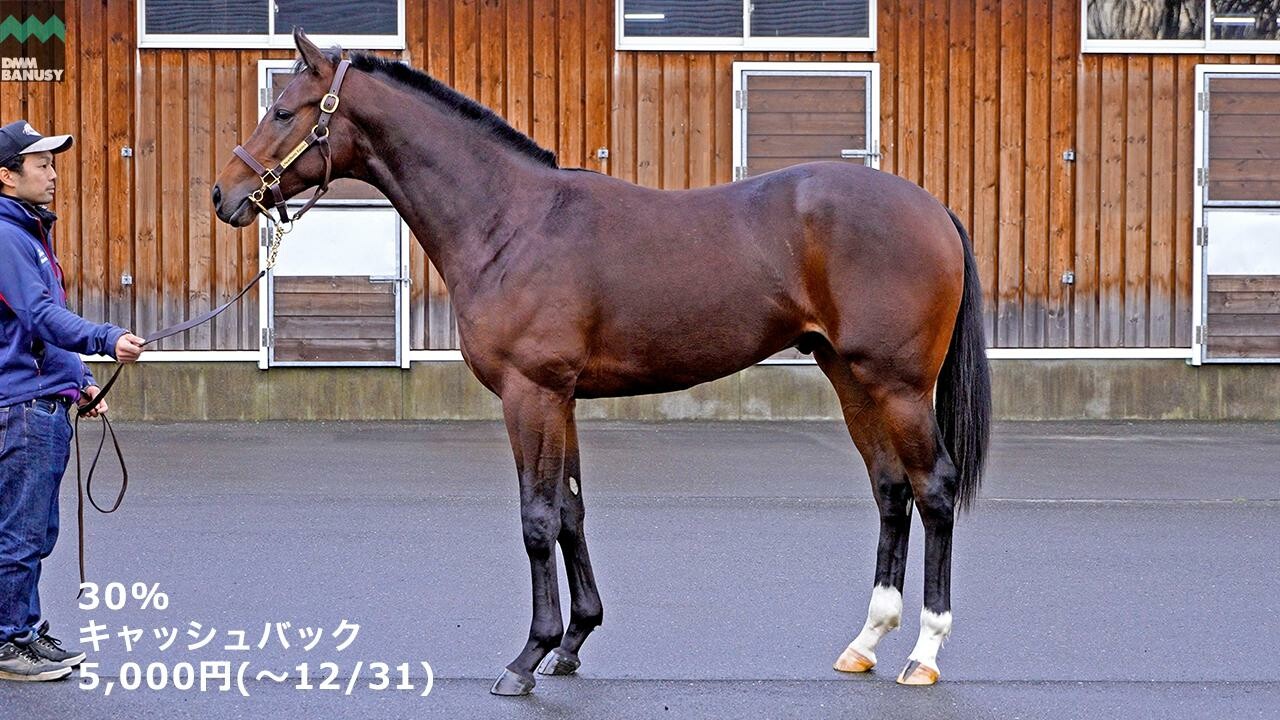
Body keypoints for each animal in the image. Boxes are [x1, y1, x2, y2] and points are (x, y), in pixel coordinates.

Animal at [213, 29, 991, 695]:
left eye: (283, 110)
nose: (226, 195)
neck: (511, 222)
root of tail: (933, 209)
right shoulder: (560, 398)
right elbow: (570, 511)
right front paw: (573, 642)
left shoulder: (531, 393)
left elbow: (536, 518)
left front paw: (526, 657)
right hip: (850, 377)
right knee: (890, 489)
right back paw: (866, 642)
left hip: (898, 385)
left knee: (935, 488)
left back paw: (923, 654)